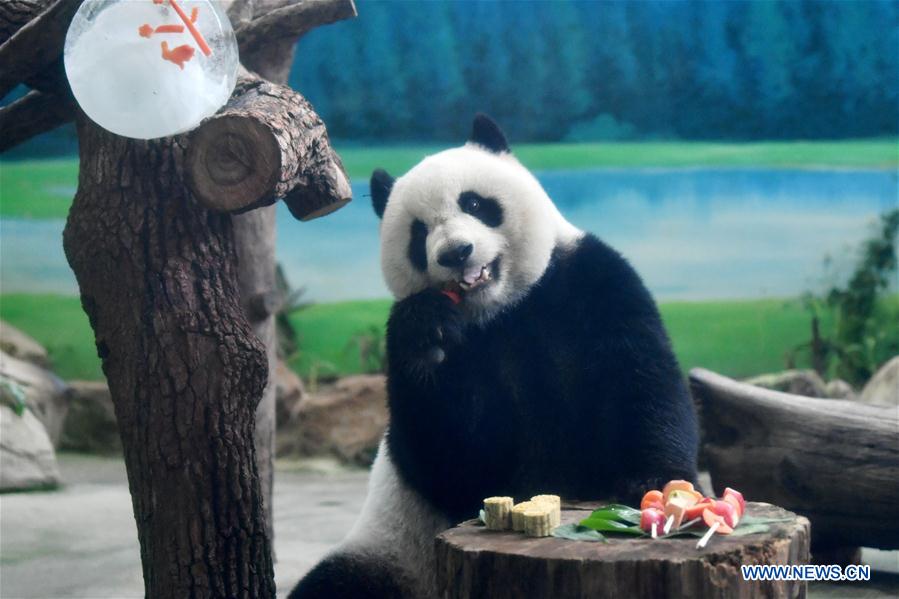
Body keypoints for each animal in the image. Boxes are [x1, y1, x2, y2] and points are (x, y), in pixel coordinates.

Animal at [289, 115, 698, 599]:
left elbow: (642, 379)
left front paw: (653, 481)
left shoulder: (589, 282)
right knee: (335, 583)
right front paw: (429, 336)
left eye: (474, 203)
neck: (502, 311)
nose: (455, 252)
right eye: (419, 233)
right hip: (388, 556)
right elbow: (456, 464)